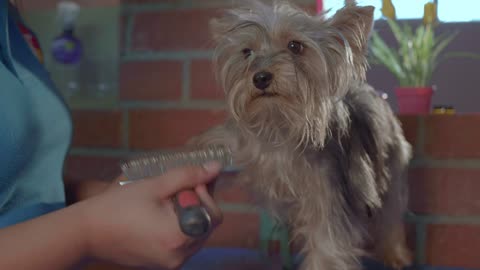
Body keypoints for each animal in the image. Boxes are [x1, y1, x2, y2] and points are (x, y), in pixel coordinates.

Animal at [189, 1, 414, 268]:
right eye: (246, 52)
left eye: (295, 46)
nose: (260, 77)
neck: (280, 123)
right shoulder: (246, 150)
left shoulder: (329, 197)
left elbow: (328, 246)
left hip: (390, 163)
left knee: (391, 213)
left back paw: (395, 254)